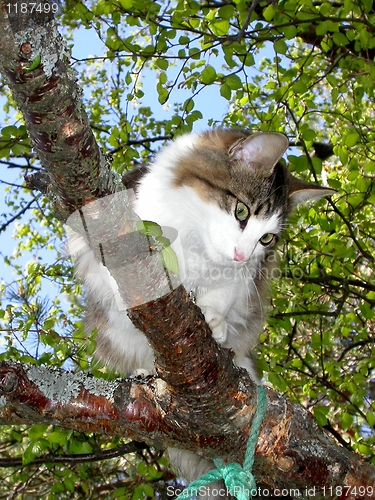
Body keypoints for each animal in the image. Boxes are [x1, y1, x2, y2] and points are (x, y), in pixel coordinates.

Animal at [69, 130, 334, 500]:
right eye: (241, 211)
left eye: (266, 238)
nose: (241, 254)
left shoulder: (241, 279)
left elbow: (221, 296)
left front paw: (213, 320)